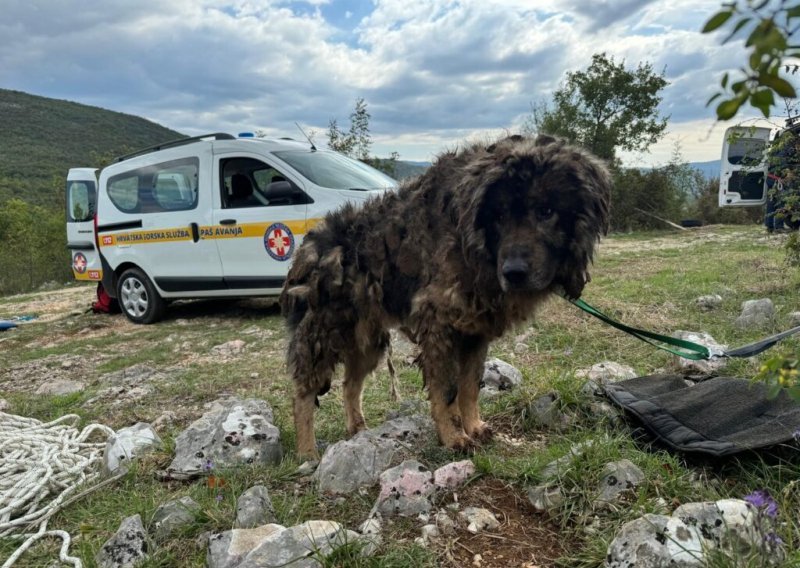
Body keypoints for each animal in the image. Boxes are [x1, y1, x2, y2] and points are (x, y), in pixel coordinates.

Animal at [278, 135, 608, 460]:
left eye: (546, 212)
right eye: (499, 216)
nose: (513, 272)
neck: (472, 245)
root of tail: (307, 248)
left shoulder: (476, 332)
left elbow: (470, 386)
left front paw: (473, 426)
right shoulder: (439, 325)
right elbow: (447, 391)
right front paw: (453, 437)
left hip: (367, 341)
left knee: (350, 384)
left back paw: (357, 429)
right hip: (324, 333)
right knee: (302, 392)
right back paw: (307, 453)